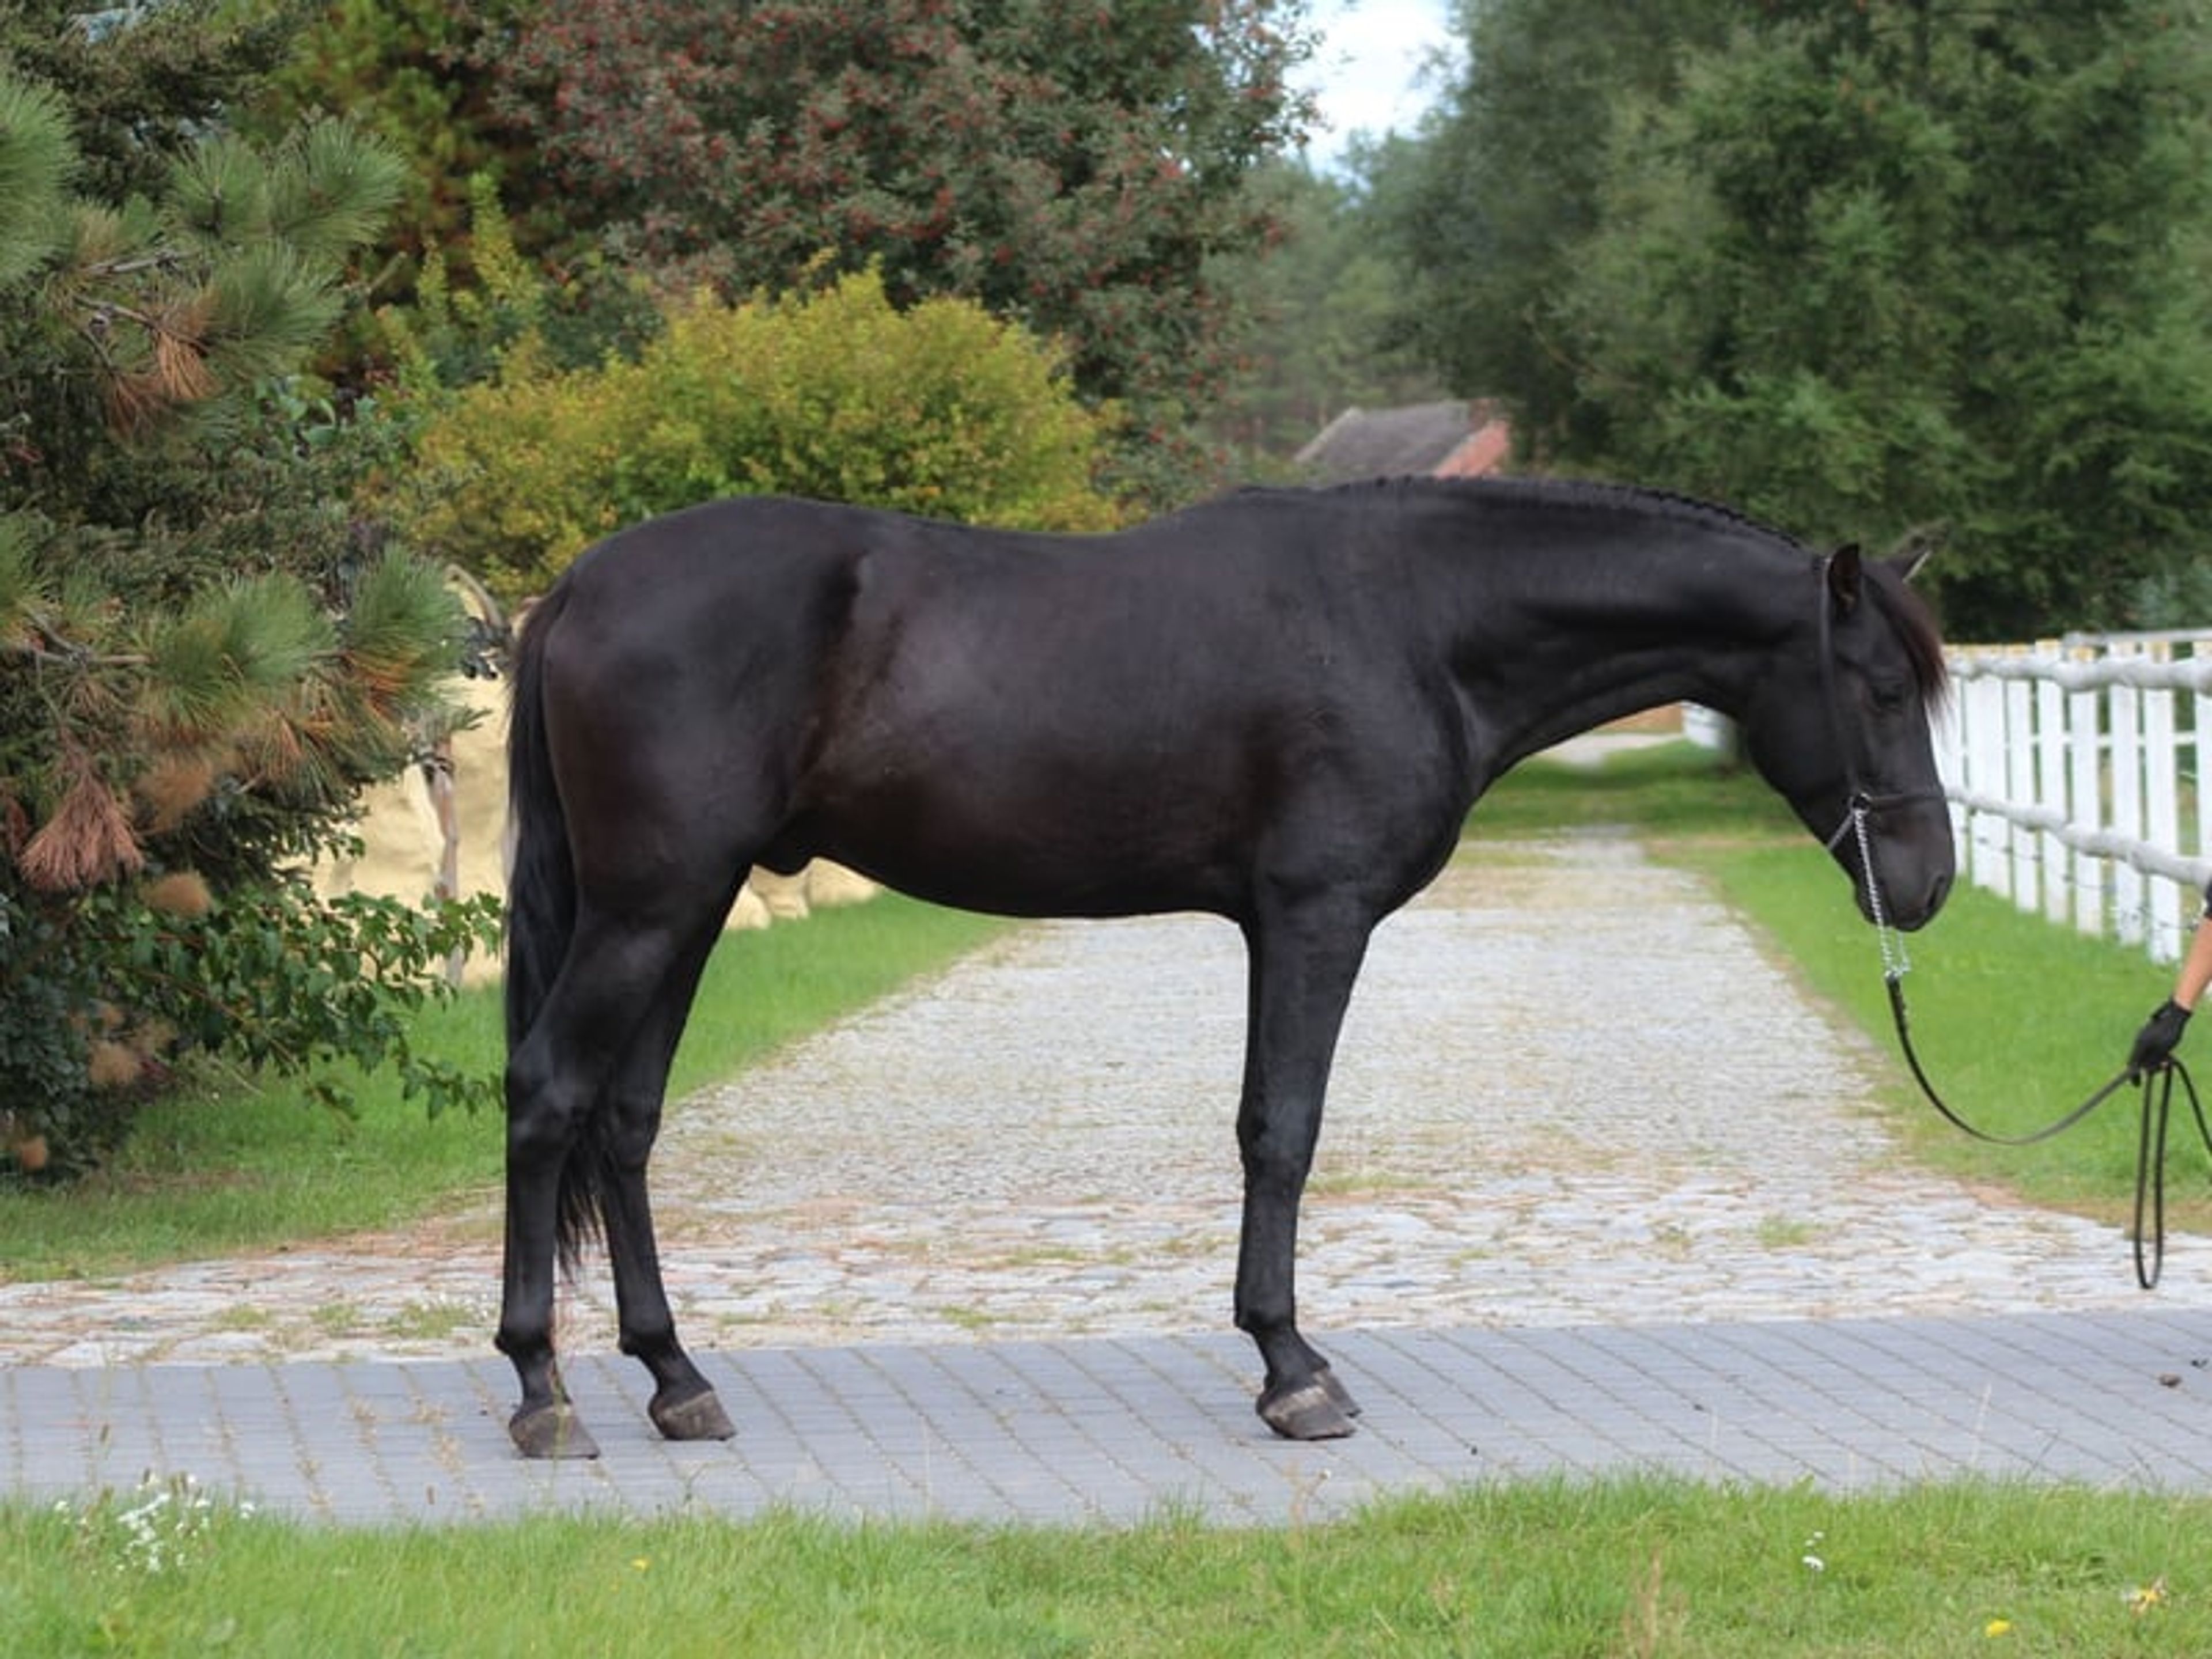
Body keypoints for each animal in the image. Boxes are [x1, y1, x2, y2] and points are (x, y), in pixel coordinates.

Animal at [496, 476, 1954, 1458]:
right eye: (1880, 689)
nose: (1929, 883)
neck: (1410, 620)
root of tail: (576, 588)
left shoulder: (1275, 922)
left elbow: (1270, 1127)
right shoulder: (1314, 917)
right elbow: (1283, 1131)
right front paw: (1293, 1371)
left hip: (683, 910)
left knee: (624, 1124)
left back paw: (677, 1380)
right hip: (650, 906)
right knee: (548, 1094)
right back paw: (543, 1391)